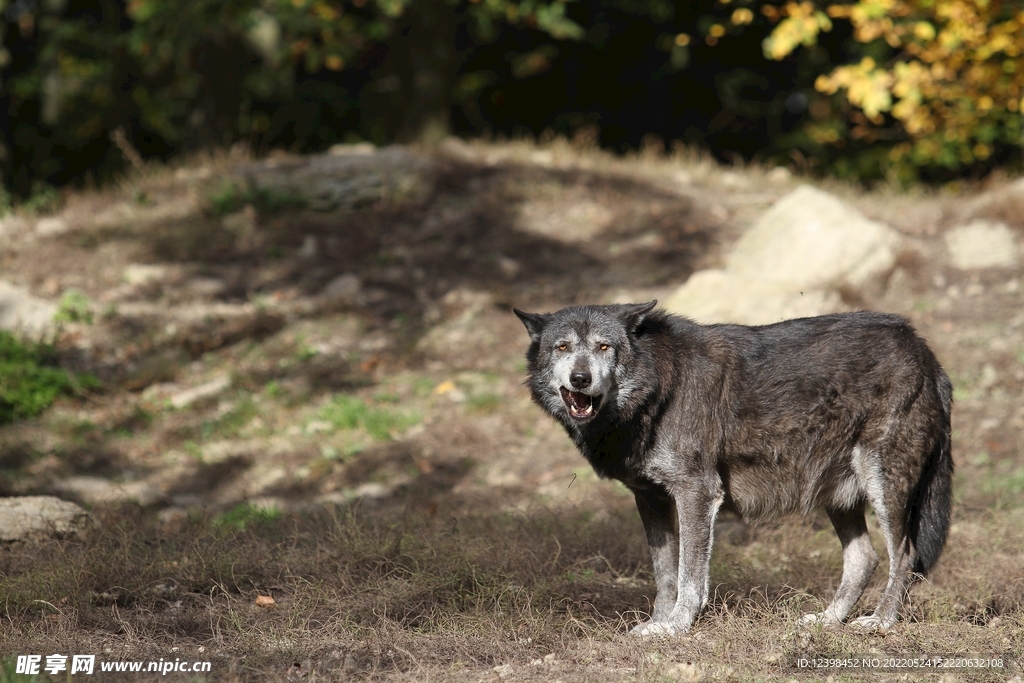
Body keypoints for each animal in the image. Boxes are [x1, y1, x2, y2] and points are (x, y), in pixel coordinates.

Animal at [516, 303, 954, 634]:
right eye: (562, 347)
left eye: (604, 346)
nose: (580, 378)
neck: (657, 389)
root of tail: (925, 351)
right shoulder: (651, 498)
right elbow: (664, 574)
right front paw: (656, 625)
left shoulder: (697, 491)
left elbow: (690, 577)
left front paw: (676, 628)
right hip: (837, 494)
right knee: (865, 558)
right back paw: (828, 621)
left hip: (881, 483)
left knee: (905, 554)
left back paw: (881, 622)